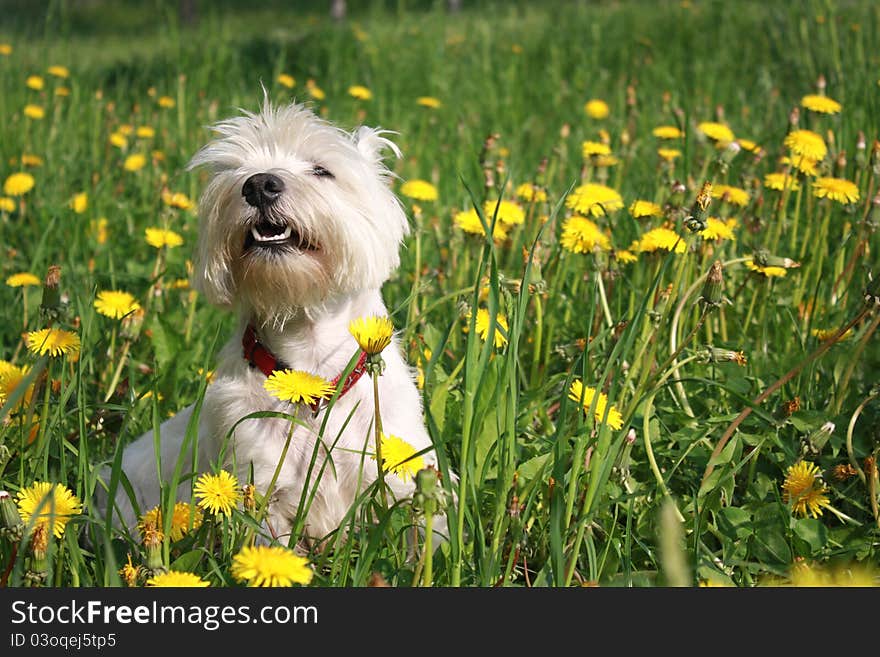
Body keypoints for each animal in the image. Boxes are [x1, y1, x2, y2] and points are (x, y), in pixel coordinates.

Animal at [101, 101, 440, 544]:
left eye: (321, 170)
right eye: (235, 171)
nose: (259, 184)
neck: (312, 373)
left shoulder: (398, 465)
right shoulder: (260, 485)